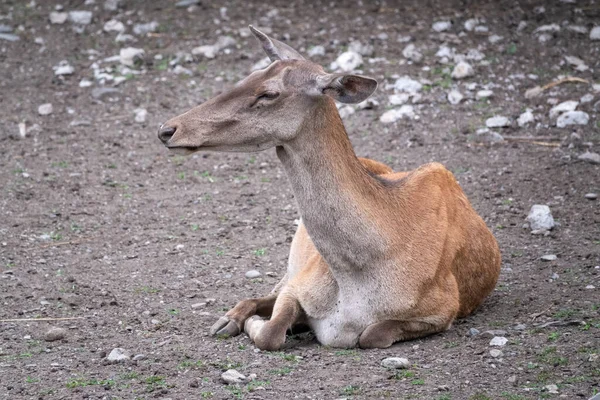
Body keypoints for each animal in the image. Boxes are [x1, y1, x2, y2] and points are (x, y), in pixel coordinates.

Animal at [158, 26, 501, 351]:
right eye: (249, 75)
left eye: (269, 94)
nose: (167, 129)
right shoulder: (300, 282)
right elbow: (271, 330)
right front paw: (265, 322)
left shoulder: (444, 307)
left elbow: (373, 334)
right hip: (291, 265)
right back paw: (227, 320)